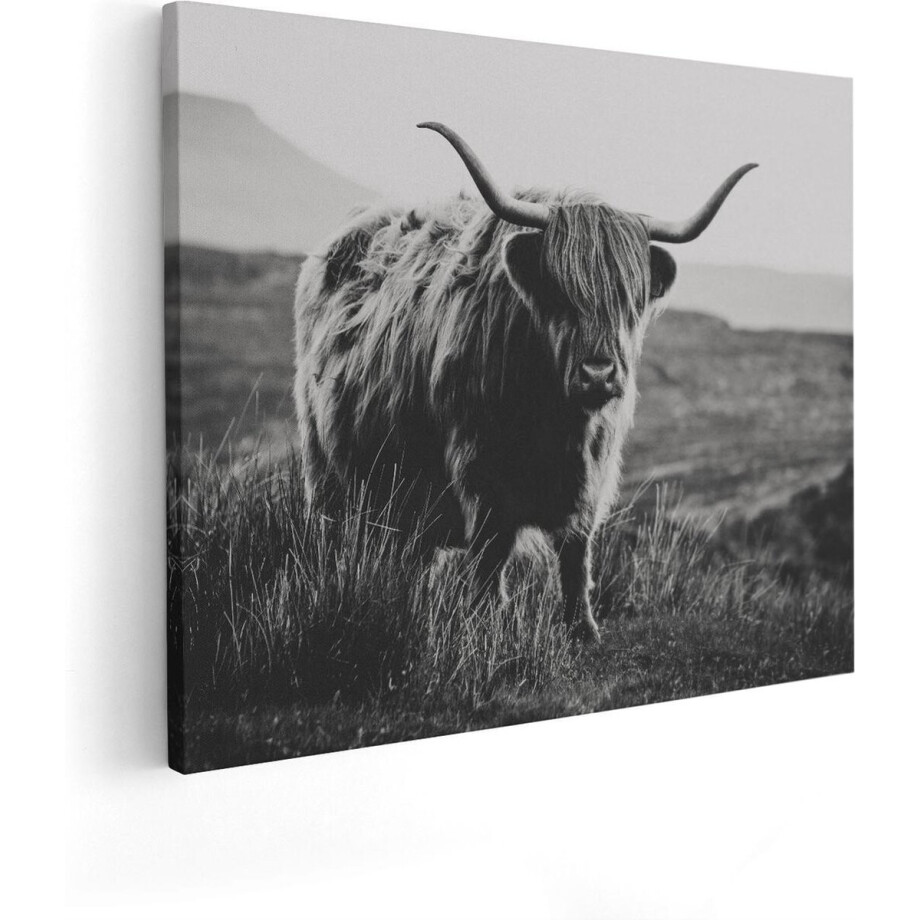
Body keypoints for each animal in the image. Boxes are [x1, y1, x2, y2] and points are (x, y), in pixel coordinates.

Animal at [294, 122, 756, 641]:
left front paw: (582, 629)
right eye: (560, 291)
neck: (555, 416)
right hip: (327, 474)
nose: (598, 373)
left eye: (628, 297)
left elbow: (576, 551)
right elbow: (491, 551)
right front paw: (487, 621)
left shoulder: (591, 475)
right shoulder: (480, 471)